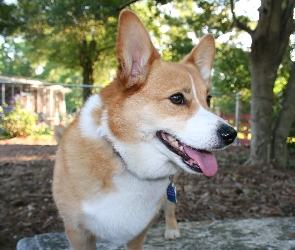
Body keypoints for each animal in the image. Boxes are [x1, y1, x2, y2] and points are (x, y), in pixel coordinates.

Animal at [53, 8, 237, 250]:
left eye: (208, 99)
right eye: (177, 98)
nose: (231, 134)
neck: (122, 159)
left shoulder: (138, 233)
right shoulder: (77, 233)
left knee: (170, 207)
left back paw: (172, 229)